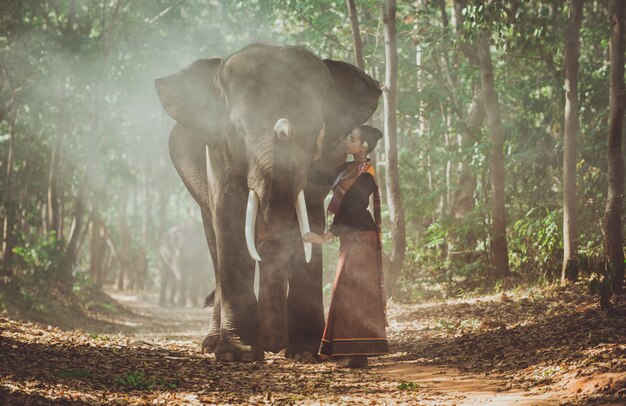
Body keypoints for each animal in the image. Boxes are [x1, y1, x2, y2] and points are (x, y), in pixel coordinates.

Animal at [156, 44, 380, 362]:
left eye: (315, 129)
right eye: (237, 130)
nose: (284, 126)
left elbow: (310, 215)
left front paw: (305, 353)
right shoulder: (217, 156)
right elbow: (230, 221)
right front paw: (236, 355)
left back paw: (276, 343)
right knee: (215, 244)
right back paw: (218, 344)